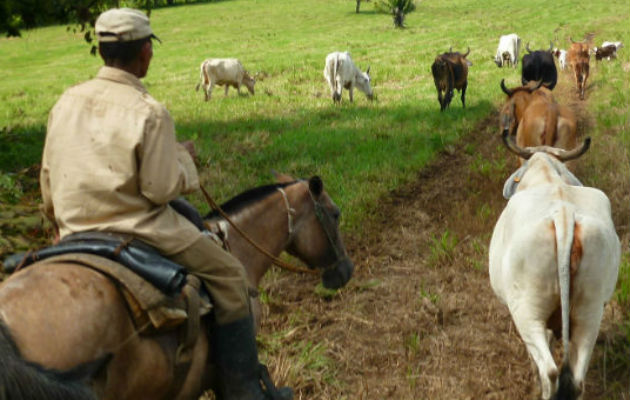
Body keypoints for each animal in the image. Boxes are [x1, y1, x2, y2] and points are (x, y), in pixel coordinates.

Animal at [488, 133, 624, 400]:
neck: (546, 177)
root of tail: (564, 214)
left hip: (526, 311)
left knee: (549, 371)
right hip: (590, 311)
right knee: (577, 379)